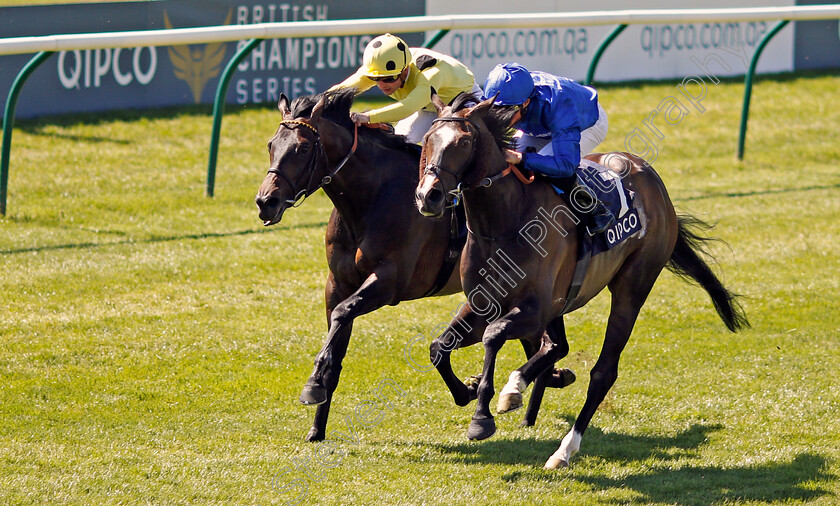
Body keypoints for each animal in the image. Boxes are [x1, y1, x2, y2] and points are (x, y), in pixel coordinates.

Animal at [254, 89, 564, 440]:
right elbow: (336, 336)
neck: (371, 198)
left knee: (548, 341)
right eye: (271, 145)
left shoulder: (389, 280)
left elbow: (344, 312)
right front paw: (317, 424)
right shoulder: (337, 283)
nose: (266, 202)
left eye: (303, 148)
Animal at [414, 93, 748, 468]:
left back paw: (563, 448)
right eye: (427, 139)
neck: (503, 222)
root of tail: (653, 180)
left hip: (633, 286)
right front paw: (468, 391)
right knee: (557, 346)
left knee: (602, 372)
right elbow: (439, 347)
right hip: (563, 302)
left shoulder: (534, 309)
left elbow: (493, 335)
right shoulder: (483, 303)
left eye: (464, 142)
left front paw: (482, 416)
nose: (429, 196)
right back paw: (521, 388)